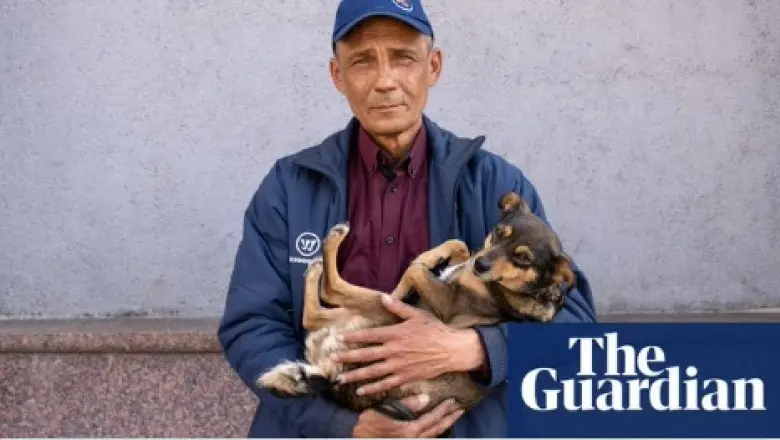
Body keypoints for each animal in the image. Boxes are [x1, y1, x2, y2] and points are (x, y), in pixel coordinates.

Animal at [258, 193, 576, 420]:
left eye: (523, 258)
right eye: (499, 232)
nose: (481, 265)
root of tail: (333, 379)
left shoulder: (446, 303)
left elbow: (414, 270)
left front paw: (405, 283)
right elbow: (458, 244)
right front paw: (441, 258)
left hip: (378, 309)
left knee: (327, 296)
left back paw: (330, 248)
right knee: (317, 313)